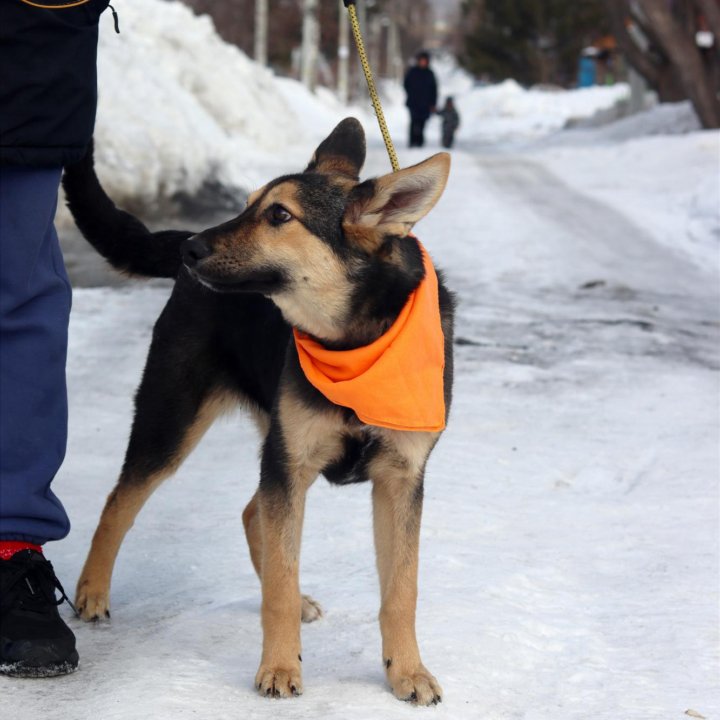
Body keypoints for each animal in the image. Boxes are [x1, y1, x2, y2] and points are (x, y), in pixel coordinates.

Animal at [63, 118, 456, 704]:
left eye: (279, 216)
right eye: (248, 205)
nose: (192, 249)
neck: (355, 341)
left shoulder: (400, 478)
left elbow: (401, 590)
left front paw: (407, 671)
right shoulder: (289, 466)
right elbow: (279, 582)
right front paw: (279, 666)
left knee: (252, 513)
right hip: (173, 421)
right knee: (119, 502)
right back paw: (91, 591)